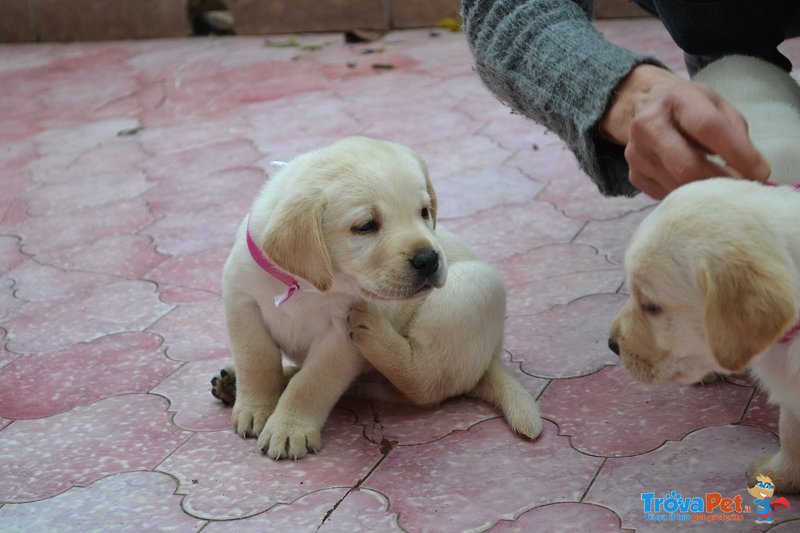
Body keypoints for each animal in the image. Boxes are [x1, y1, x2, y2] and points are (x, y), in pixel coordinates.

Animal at [211, 136, 544, 458]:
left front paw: (288, 428)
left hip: (475, 286)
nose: (429, 259)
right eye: (365, 225)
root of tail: (492, 358)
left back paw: (375, 333)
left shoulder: (340, 338)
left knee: (425, 380)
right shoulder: (242, 303)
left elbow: (312, 383)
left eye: (424, 212)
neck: (305, 286)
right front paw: (256, 408)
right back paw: (237, 383)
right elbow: (256, 362)